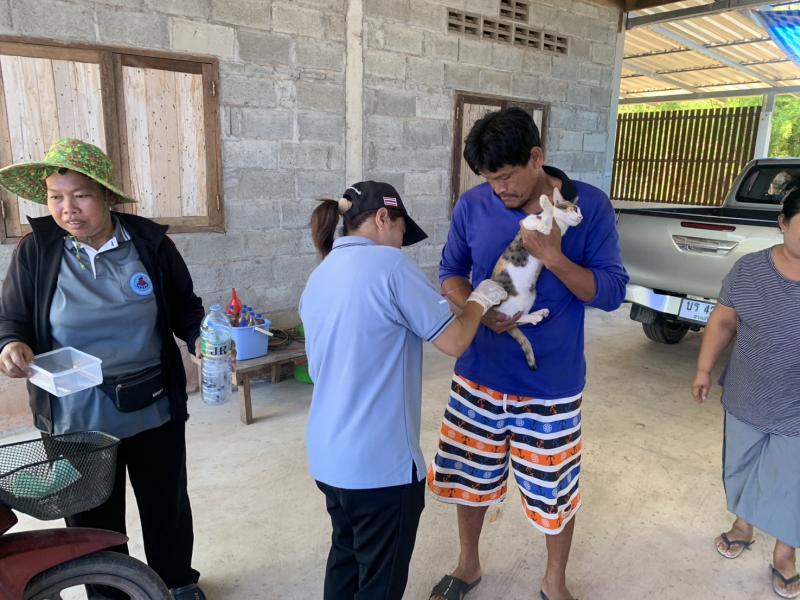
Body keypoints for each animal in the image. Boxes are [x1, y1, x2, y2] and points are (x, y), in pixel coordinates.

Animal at [490, 187, 583, 371]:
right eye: (575, 209)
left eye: (580, 212)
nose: (581, 218)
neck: (559, 225)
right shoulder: (527, 223)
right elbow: (542, 216)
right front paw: (545, 204)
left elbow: (547, 221)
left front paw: (546, 215)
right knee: (513, 319)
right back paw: (535, 316)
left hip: (530, 294)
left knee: (517, 319)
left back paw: (537, 315)